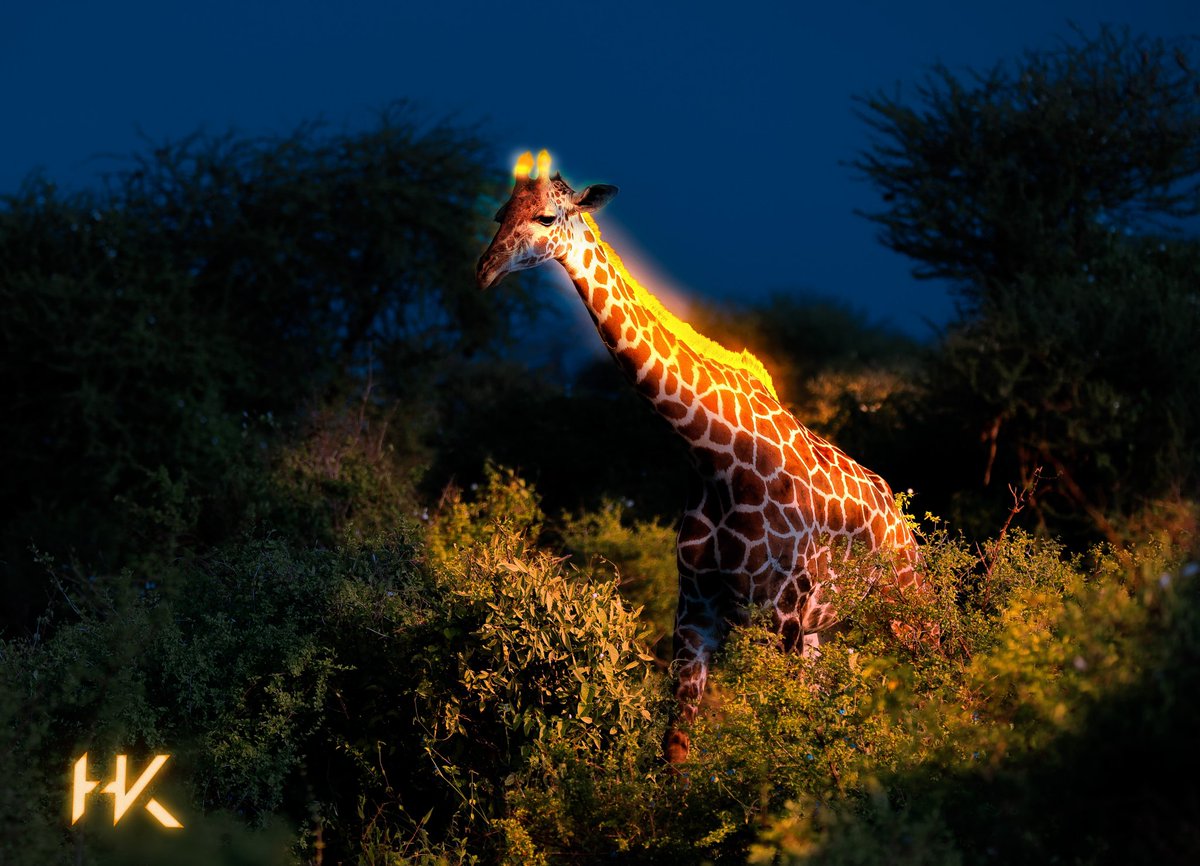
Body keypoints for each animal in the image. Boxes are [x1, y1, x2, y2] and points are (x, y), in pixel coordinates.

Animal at [476, 150, 928, 763]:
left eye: (547, 217)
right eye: (501, 211)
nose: (485, 270)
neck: (714, 455)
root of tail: (905, 527)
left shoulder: (781, 613)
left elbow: (782, 741)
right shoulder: (697, 612)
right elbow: (676, 747)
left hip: (900, 612)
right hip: (824, 629)